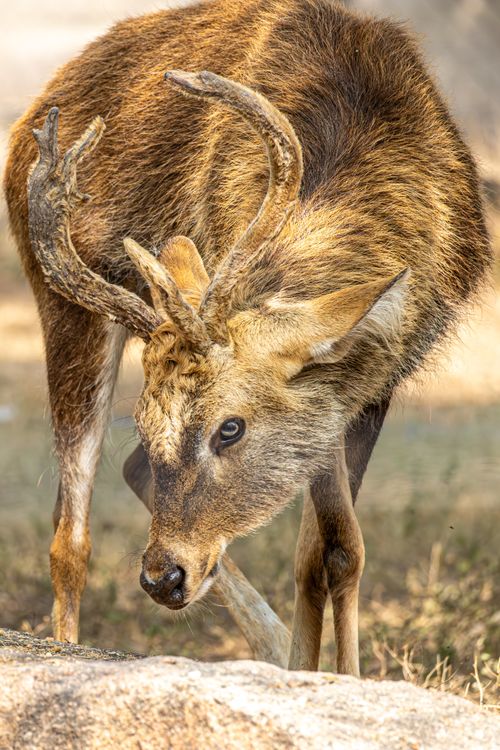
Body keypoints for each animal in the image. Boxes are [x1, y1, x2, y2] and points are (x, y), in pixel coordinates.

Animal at [4, 0, 490, 677]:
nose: (162, 577)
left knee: (127, 475)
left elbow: (329, 552)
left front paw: (327, 674)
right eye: (144, 421)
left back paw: (271, 645)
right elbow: (331, 544)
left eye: (229, 428)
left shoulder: (367, 383)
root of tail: (29, 121)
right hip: (63, 302)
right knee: (69, 535)